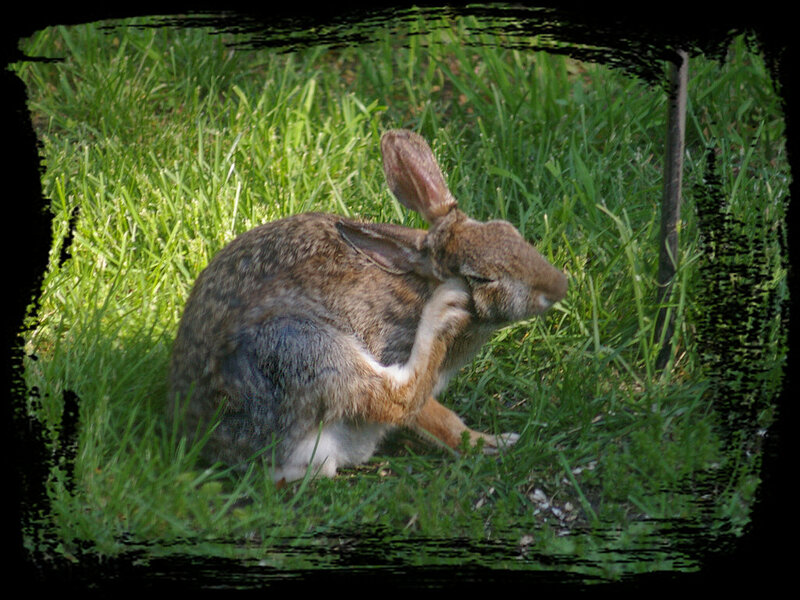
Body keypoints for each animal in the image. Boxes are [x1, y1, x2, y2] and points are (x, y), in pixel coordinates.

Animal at [167, 129, 568, 484]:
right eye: (481, 277)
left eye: (510, 231)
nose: (559, 286)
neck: (422, 282)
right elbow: (424, 413)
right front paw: (489, 444)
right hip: (300, 347)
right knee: (396, 398)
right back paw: (445, 315)